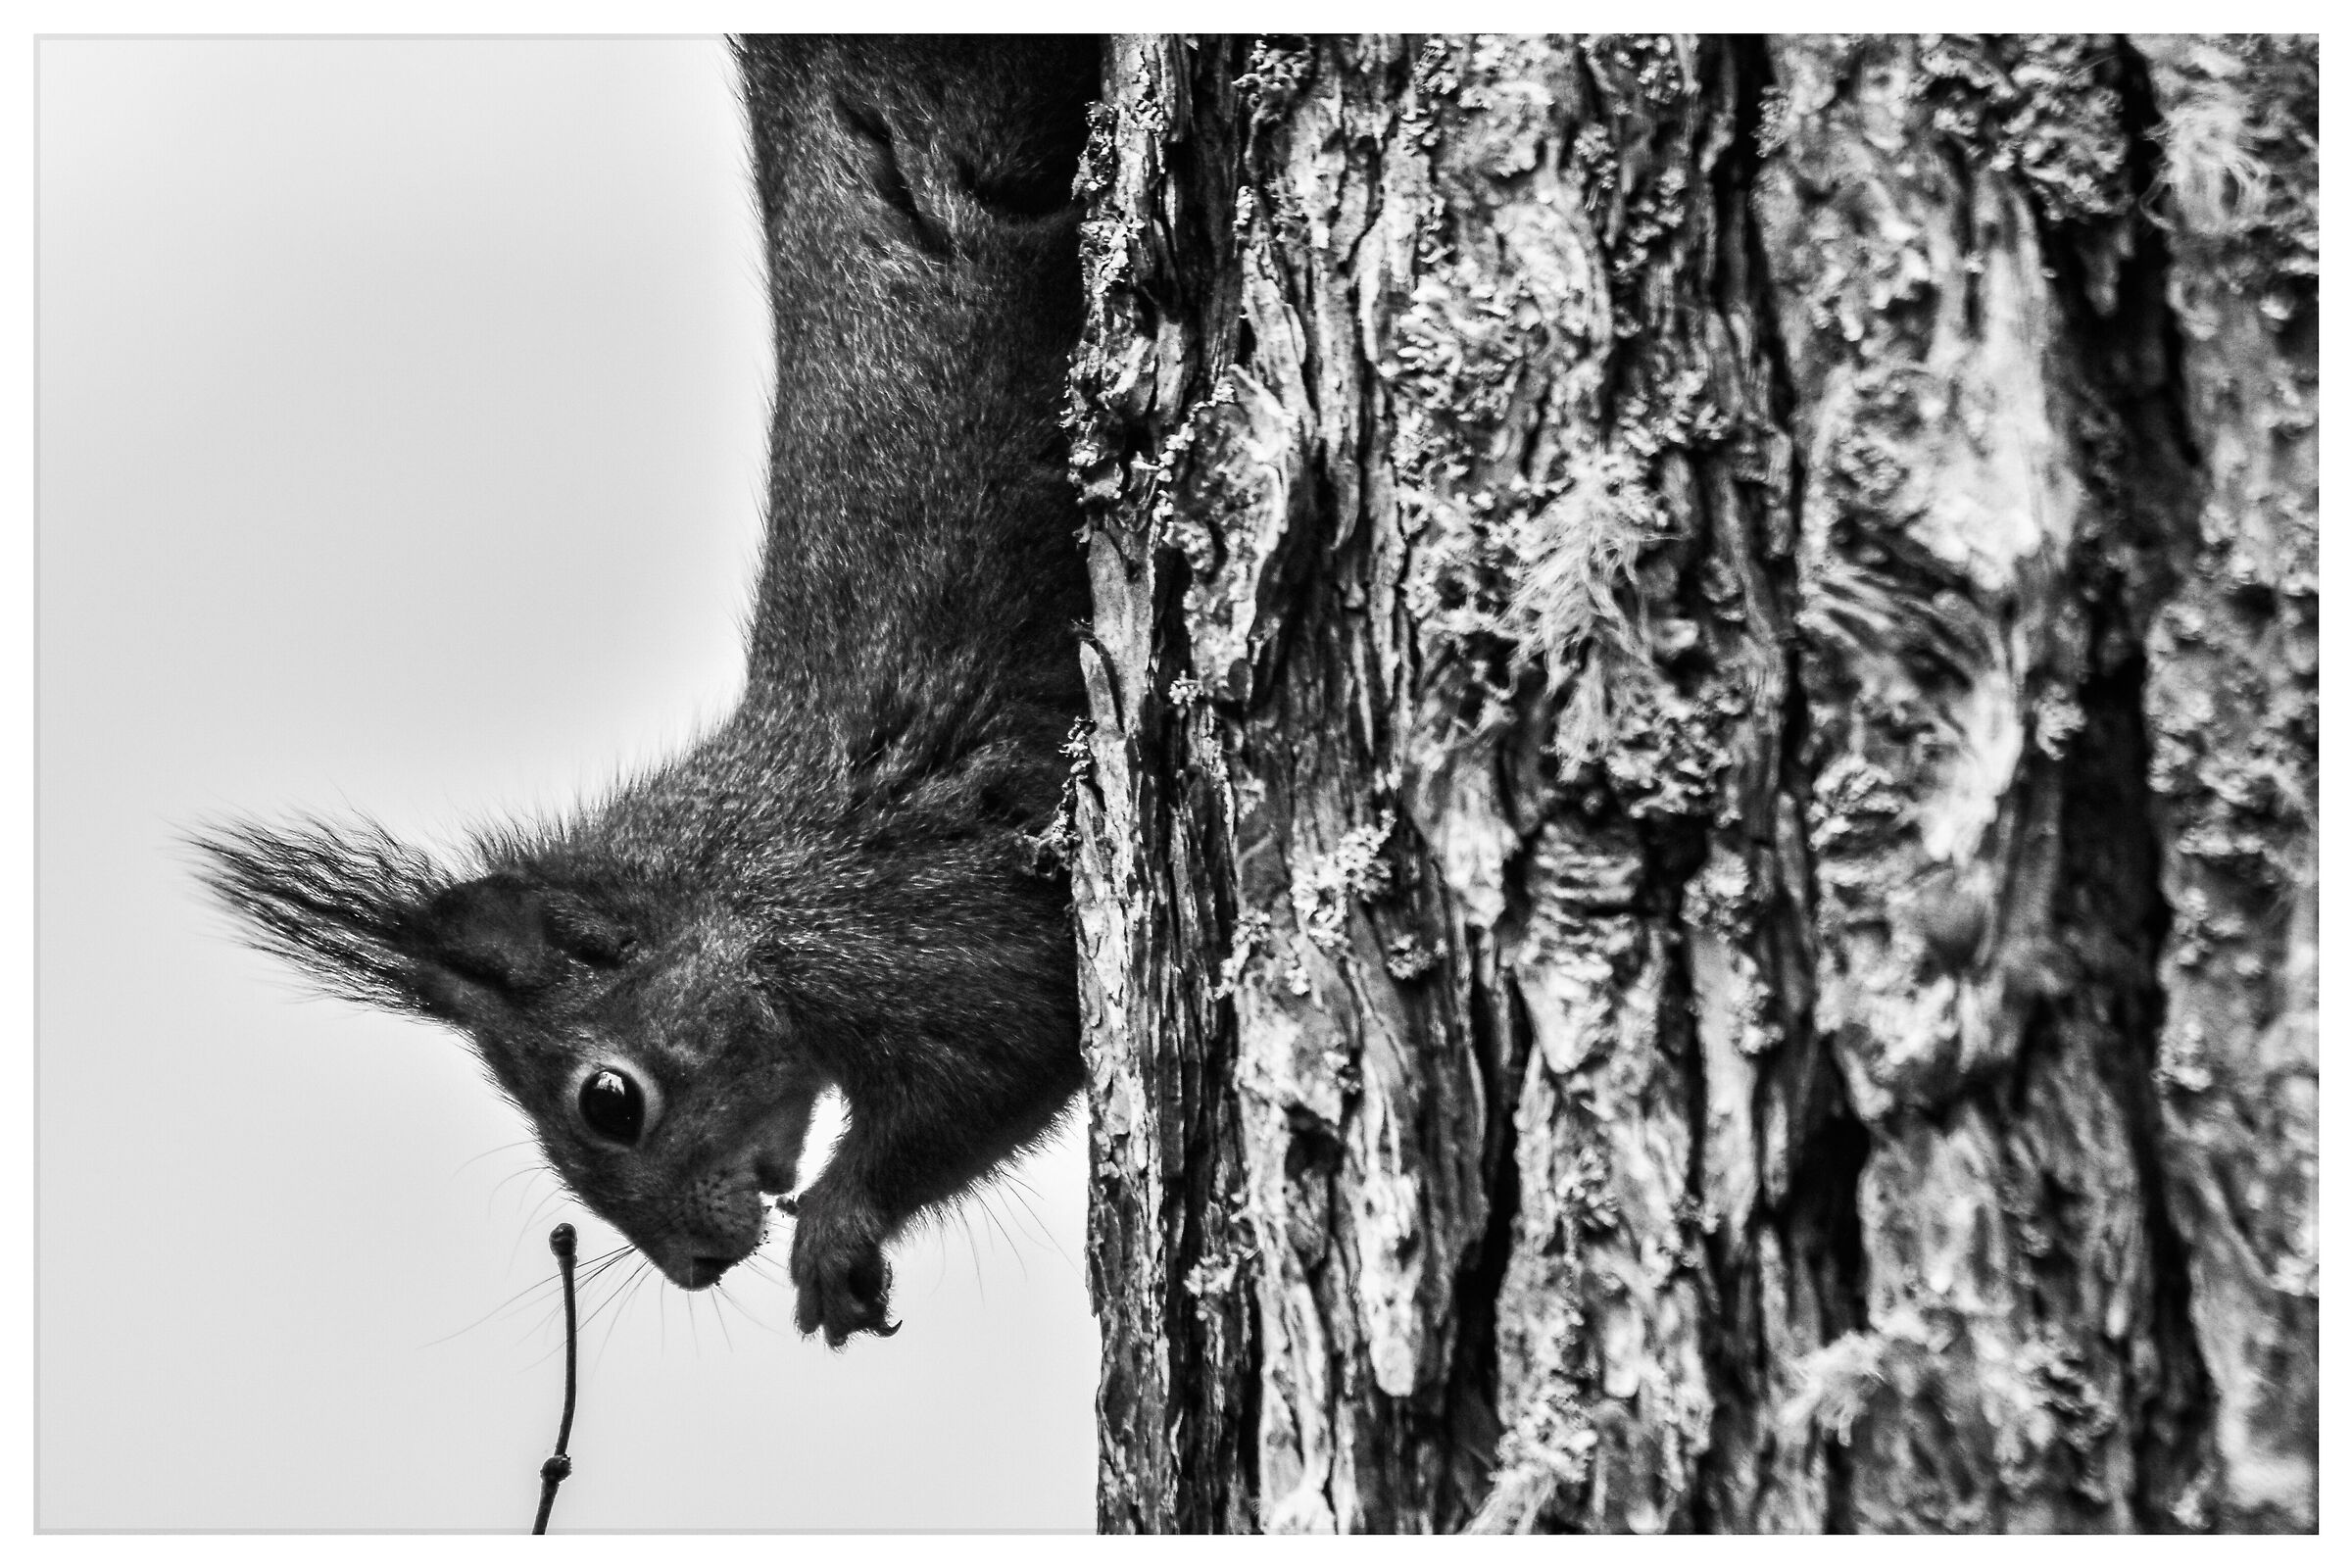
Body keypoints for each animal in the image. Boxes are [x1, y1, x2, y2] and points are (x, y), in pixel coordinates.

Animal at [197, 35, 1100, 1348]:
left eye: (609, 1102)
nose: (694, 1267)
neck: (746, 887)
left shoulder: (912, 920)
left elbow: (1007, 1056)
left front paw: (838, 1226)